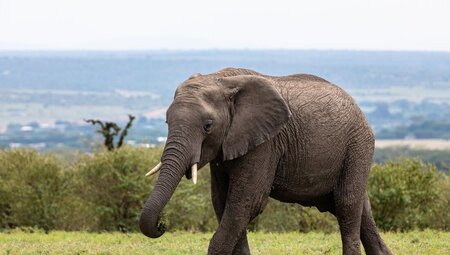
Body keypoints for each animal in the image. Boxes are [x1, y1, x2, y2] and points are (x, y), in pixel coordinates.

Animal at [139, 68, 392, 255]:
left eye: (207, 126)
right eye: (166, 121)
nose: (162, 224)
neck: (220, 79)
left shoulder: (265, 144)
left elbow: (245, 202)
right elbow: (223, 202)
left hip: (358, 145)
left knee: (347, 204)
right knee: (359, 208)